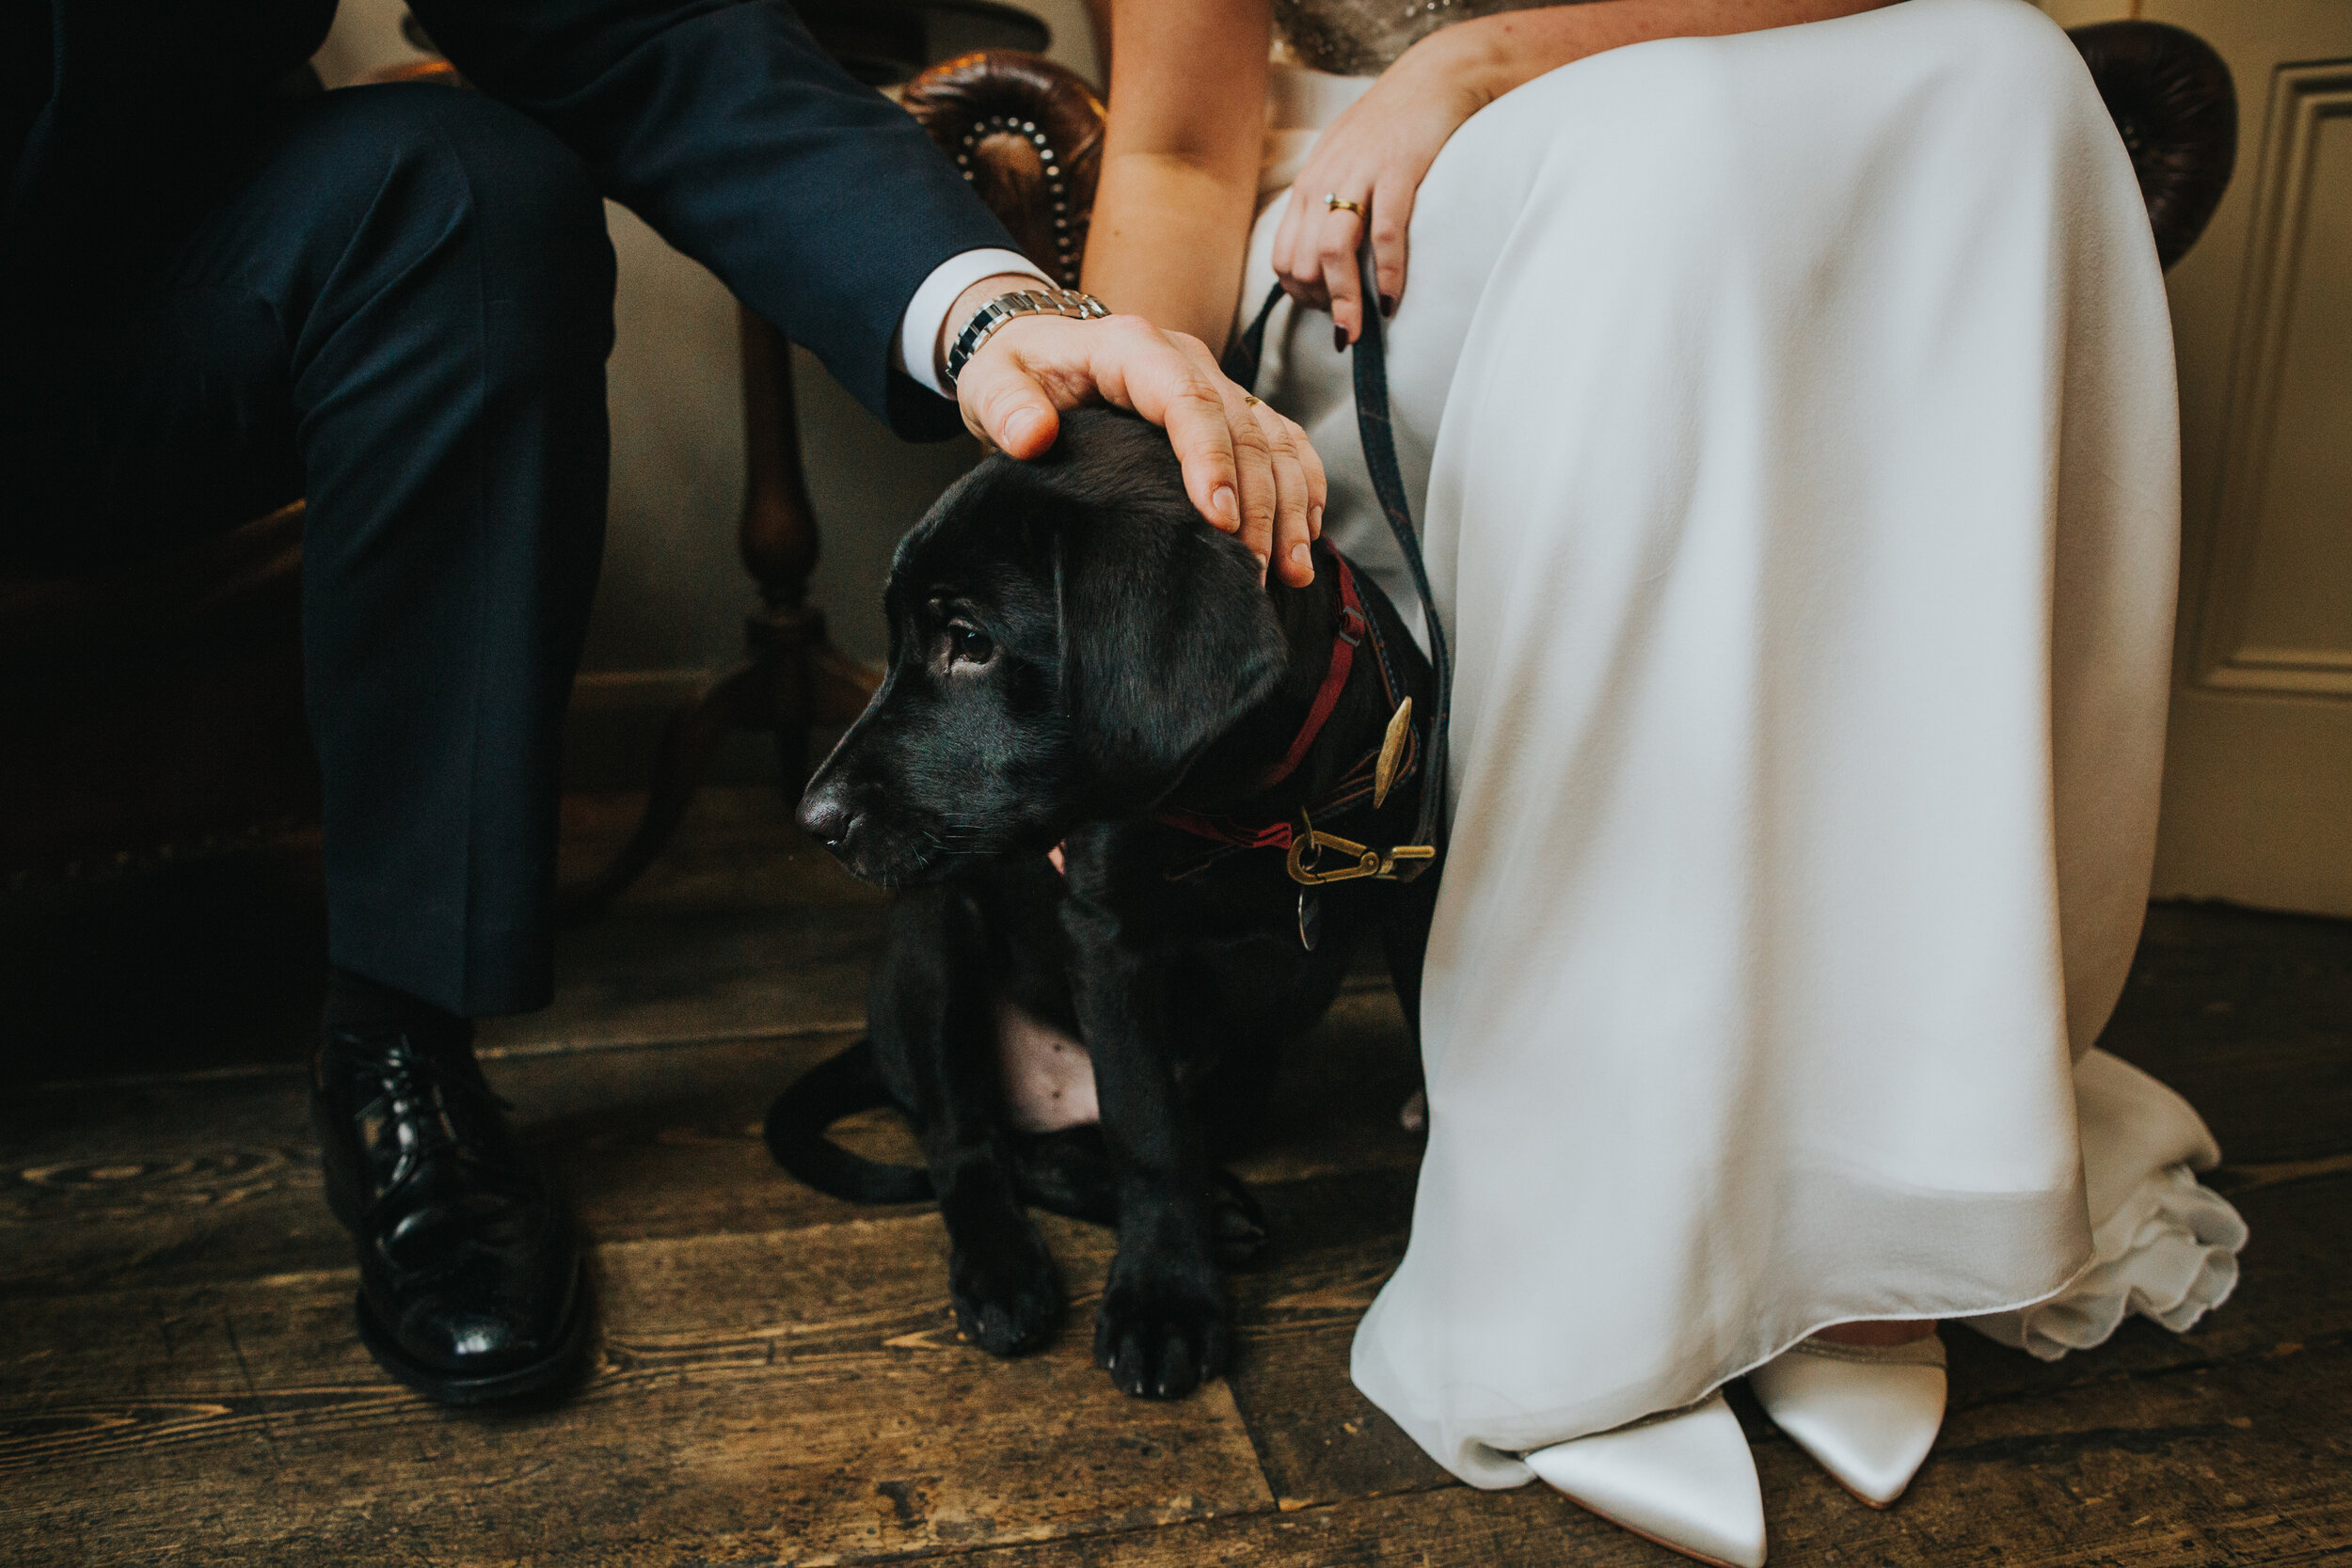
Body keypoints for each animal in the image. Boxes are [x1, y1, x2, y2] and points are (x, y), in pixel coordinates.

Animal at [786, 404, 1430, 1401]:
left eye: (970, 641)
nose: (812, 817)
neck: (1251, 805)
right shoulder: (1108, 941)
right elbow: (1147, 1129)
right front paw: (1165, 1297)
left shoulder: (1409, 886)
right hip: (932, 941)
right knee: (967, 1140)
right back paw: (1006, 1267)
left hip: (1248, 1066)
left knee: (1055, 1146)